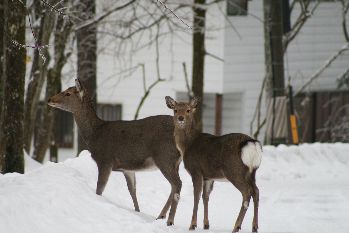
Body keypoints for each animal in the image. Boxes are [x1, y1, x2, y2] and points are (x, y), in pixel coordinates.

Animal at [47, 78, 182, 226]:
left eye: (68, 93)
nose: (49, 99)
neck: (94, 135)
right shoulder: (127, 169)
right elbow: (132, 191)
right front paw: (138, 212)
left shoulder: (105, 160)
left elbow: (99, 189)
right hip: (175, 162)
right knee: (173, 186)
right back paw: (160, 216)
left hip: (164, 156)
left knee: (177, 183)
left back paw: (169, 220)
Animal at [164, 95, 260, 232]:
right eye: (175, 110)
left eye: (188, 110)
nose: (180, 118)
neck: (187, 146)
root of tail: (251, 143)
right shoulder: (208, 177)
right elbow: (205, 197)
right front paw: (206, 224)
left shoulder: (196, 170)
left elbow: (196, 196)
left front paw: (192, 225)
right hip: (253, 172)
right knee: (256, 191)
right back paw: (254, 227)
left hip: (234, 171)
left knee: (247, 192)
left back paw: (236, 226)